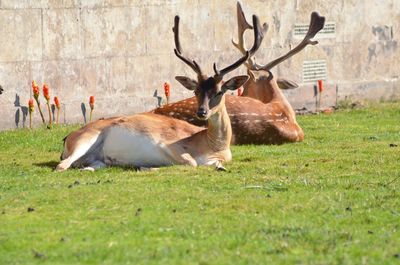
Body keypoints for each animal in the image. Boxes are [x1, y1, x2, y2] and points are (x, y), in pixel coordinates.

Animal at [55, 13, 262, 171]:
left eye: (219, 91)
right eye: (196, 91)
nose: (201, 112)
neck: (212, 146)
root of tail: (67, 137)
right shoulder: (168, 144)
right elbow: (191, 162)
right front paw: (145, 166)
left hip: (97, 160)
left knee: (88, 166)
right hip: (85, 139)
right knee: (61, 165)